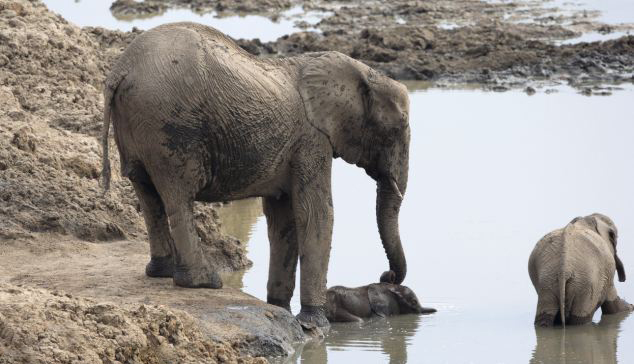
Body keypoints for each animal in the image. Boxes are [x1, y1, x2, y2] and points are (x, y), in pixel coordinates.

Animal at [102, 22, 410, 330]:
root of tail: (121, 69)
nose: (387, 276)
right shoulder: (312, 139)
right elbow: (317, 213)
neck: (360, 72)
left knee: (147, 194)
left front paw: (279, 307)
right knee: (178, 196)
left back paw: (161, 272)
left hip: (138, 122)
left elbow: (284, 217)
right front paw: (315, 323)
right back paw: (203, 282)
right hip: (171, 124)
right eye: (400, 127)